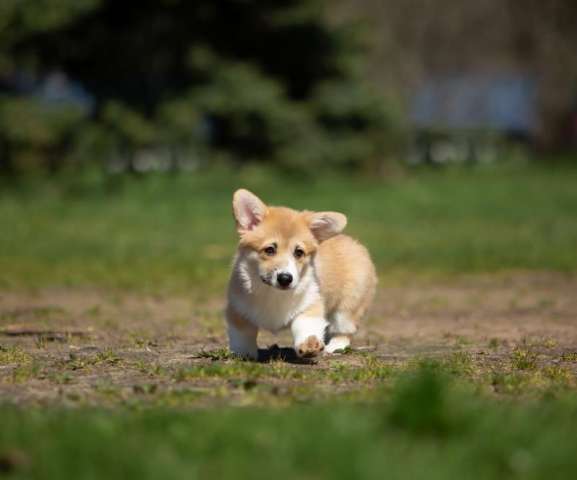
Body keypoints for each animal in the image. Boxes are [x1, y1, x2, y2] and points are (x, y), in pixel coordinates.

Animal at [225, 189, 378, 358]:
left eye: (299, 252)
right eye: (269, 250)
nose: (285, 278)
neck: (273, 293)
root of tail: (353, 242)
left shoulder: (311, 304)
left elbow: (305, 325)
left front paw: (309, 344)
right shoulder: (238, 309)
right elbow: (243, 334)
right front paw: (243, 353)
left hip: (348, 306)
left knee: (343, 329)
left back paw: (334, 347)